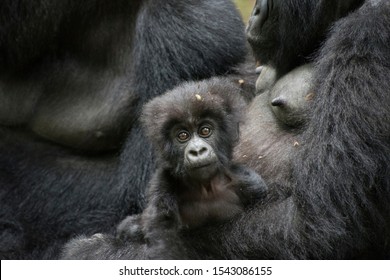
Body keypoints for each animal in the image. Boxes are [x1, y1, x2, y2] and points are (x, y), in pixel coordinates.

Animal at [117, 78, 266, 258]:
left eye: (205, 131)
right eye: (182, 135)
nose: (197, 151)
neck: (206, 188)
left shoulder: (250, 182)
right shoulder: (163, 187)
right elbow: (163, 243)